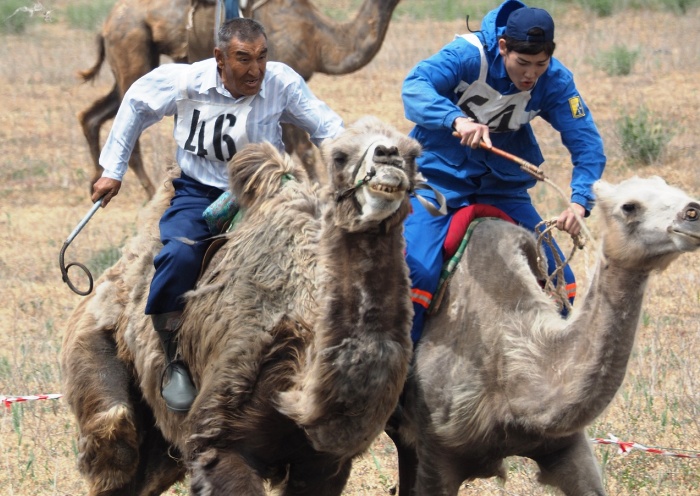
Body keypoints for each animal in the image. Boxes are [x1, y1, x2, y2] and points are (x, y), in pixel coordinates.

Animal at [60, 117, 418, 496]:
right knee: (116, 434)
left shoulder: (326, 463)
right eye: (339, 156)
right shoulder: (219, 433)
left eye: (413, 153)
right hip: (97, 350)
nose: (388, 159)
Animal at [78, 0, 400, 197]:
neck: (318, 39)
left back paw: (97, 179)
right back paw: (147, 192)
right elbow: (304, 150)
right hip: (132, 45)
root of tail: (106, 24)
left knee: (92, 116)